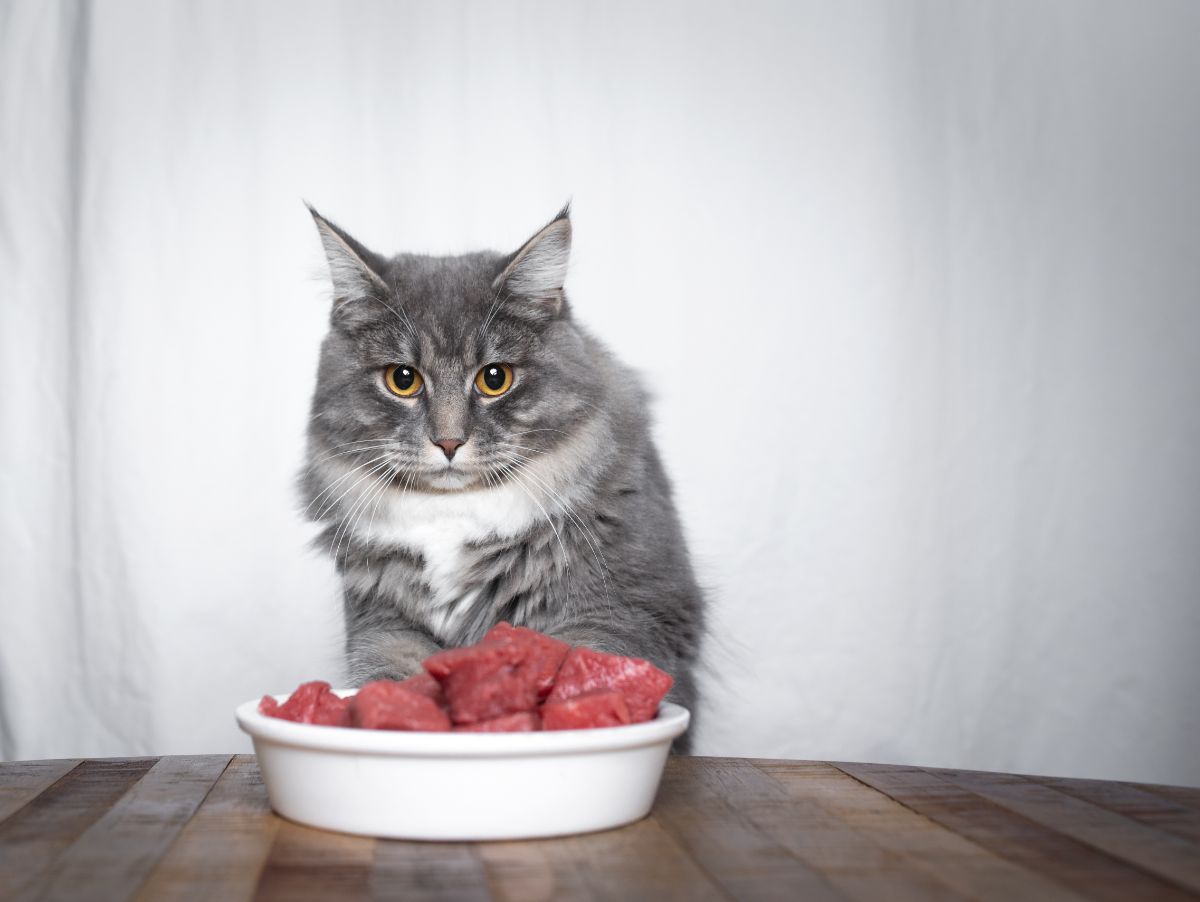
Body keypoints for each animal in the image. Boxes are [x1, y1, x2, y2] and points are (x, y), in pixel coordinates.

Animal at [300, 203, 705, 738]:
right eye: (402, 379)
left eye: (495, 378)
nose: (449, 442)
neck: (452, 517)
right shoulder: (383, 623)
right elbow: (392, 674)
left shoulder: (621, 610)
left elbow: (589, 664)